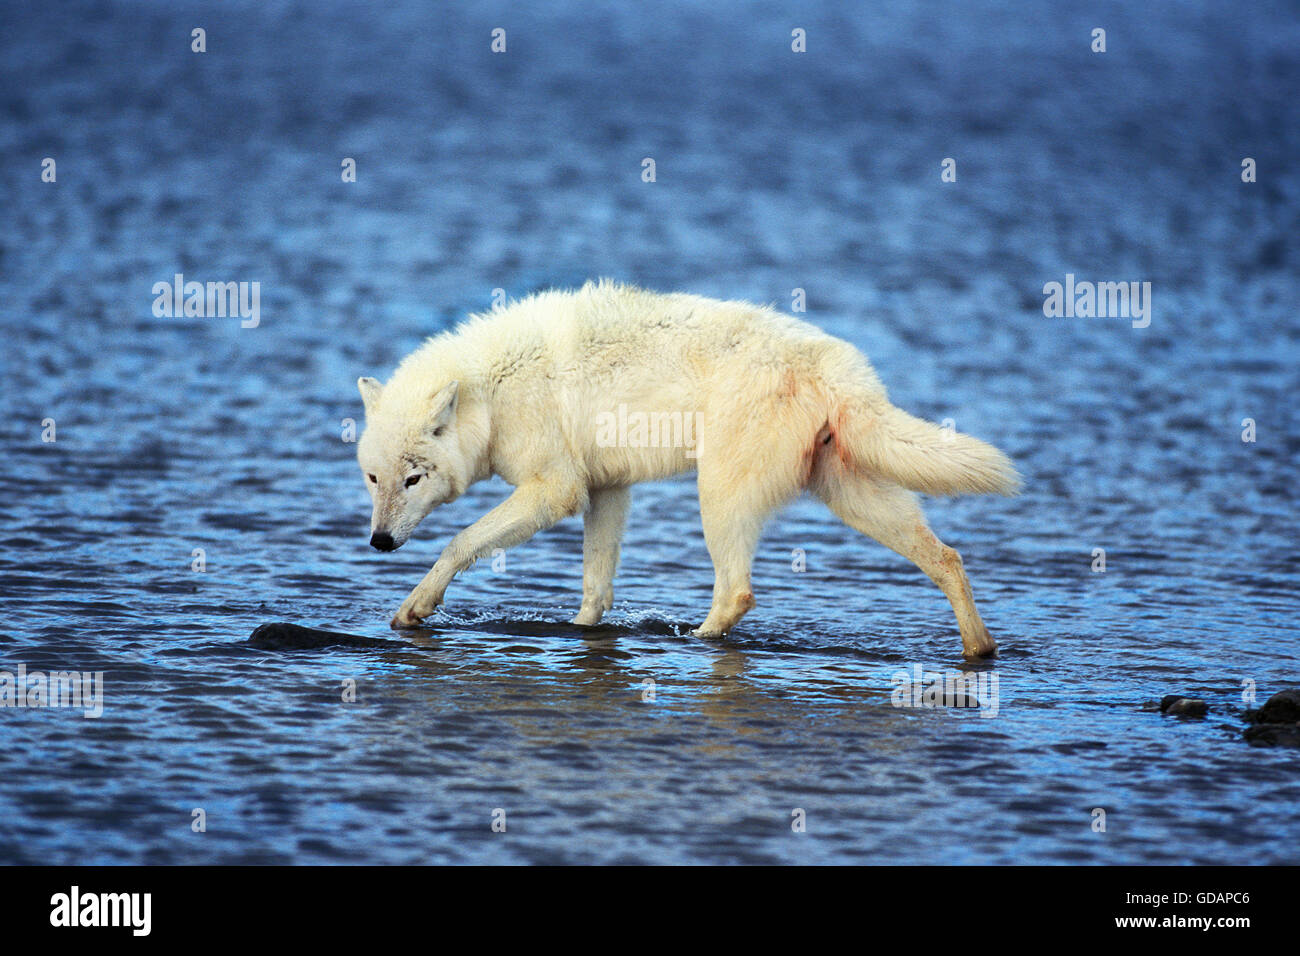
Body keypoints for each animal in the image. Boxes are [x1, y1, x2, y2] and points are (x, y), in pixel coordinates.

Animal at [356, 280, 1013, 660]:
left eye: (413, 480)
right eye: (373, 479)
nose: (379, 542)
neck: (492, 391)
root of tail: (843, 368)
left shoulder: (555, 491)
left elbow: (460, 542)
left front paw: (415, 607)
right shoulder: (607, 490)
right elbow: (595, 589)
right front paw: (581, 631)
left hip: (718, 496)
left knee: (737, 591)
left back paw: (692, 642)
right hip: (852, 498)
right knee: (948, 557)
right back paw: (980, 650)